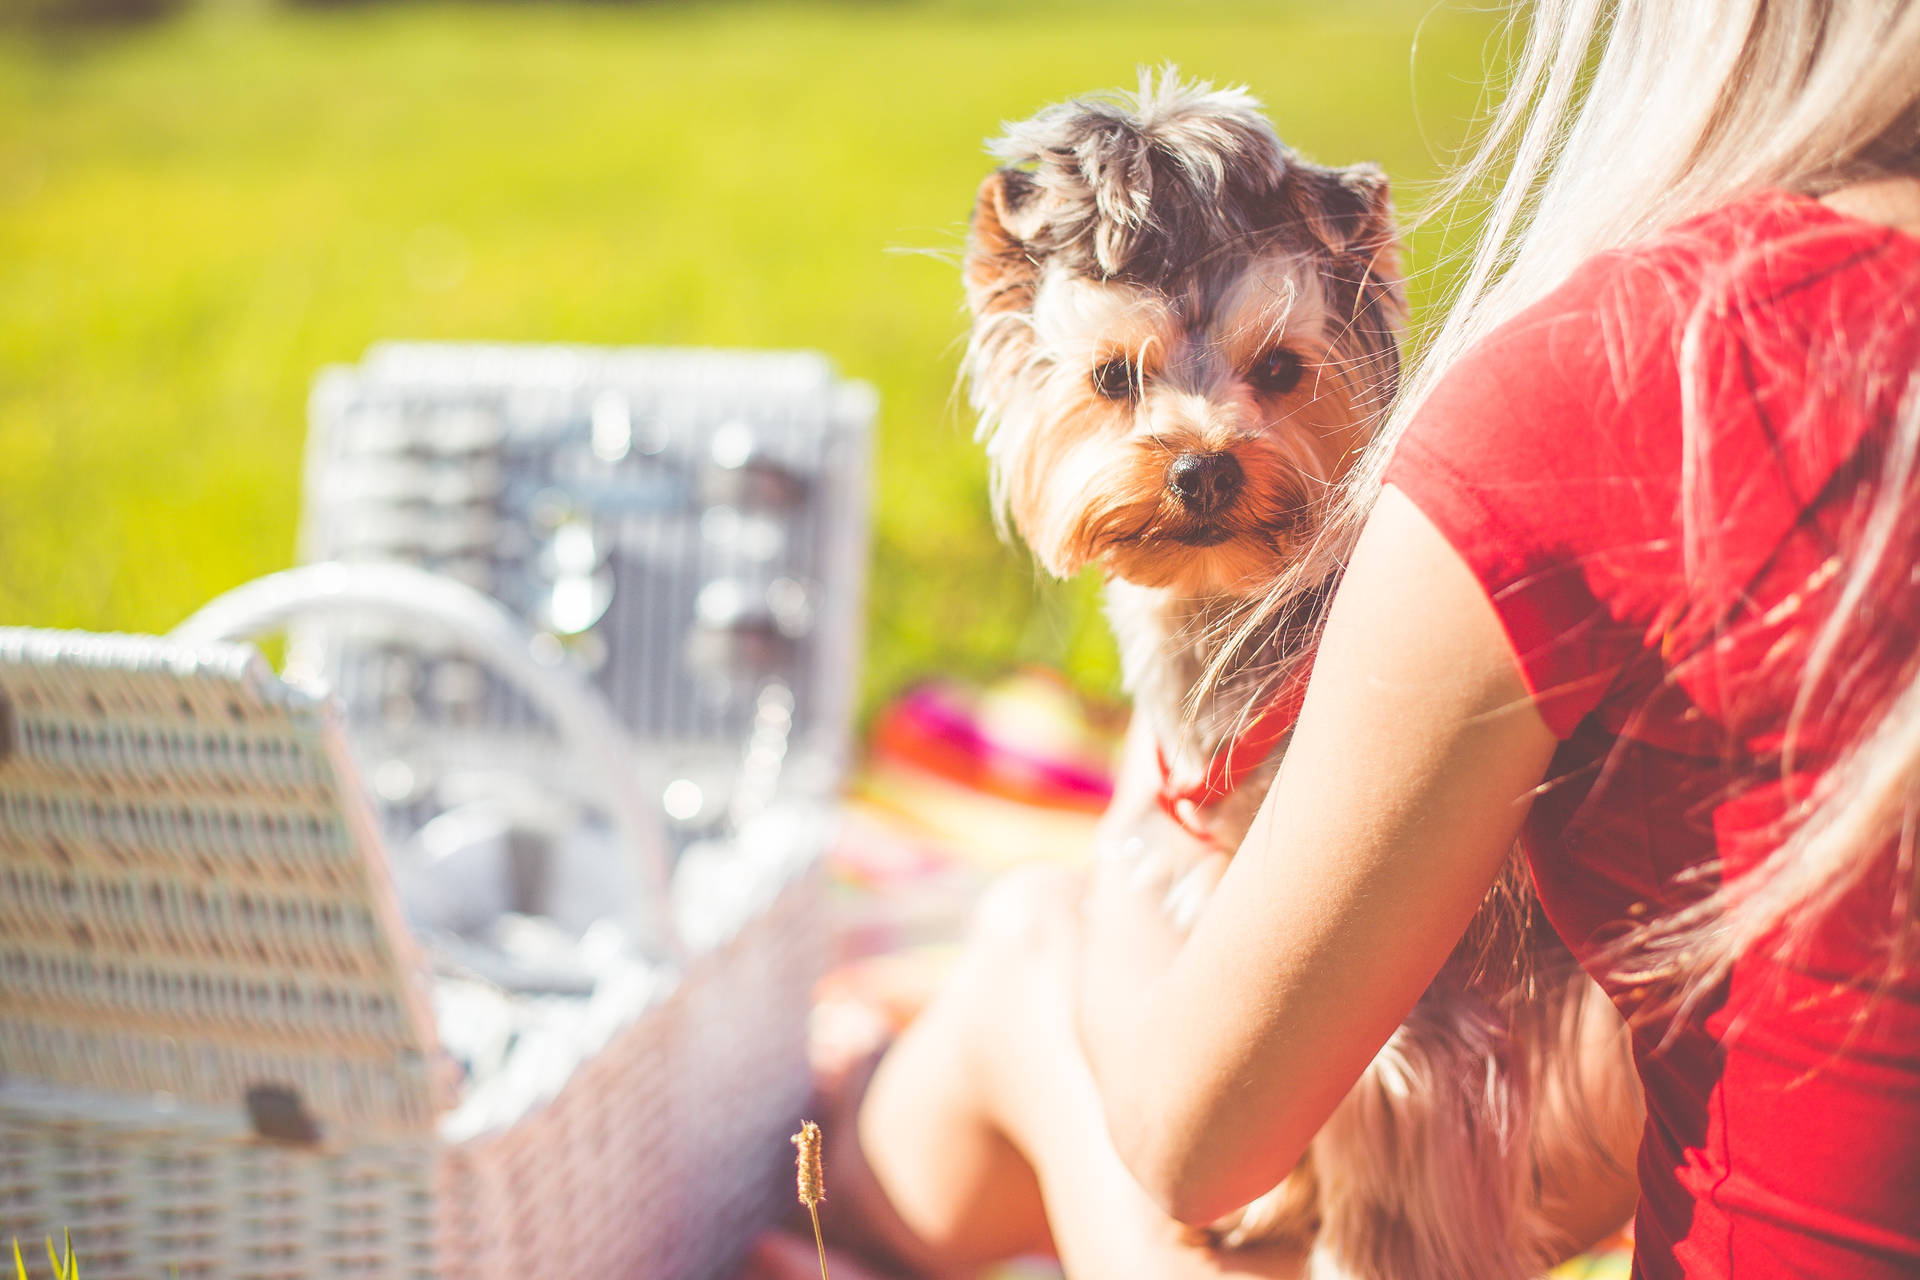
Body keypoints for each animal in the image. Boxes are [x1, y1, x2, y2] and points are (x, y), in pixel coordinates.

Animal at [960, 72, 1635, 1280]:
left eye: (1279, 369)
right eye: (1113, 378)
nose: (1202, 466)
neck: (1232, 614)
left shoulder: (1425, 1017)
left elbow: (1370, 1148)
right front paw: (1270, 1204)